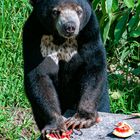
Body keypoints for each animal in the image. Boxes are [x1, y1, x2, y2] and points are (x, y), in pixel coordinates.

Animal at [22, 0, 110, 138]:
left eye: (79, 11)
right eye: (55, 11)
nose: (70, 27)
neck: (61, 39)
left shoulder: (90, 35)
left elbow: (93, 69)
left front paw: (81, 119)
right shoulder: (34, 38)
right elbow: (39, 76)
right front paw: (55, 127)